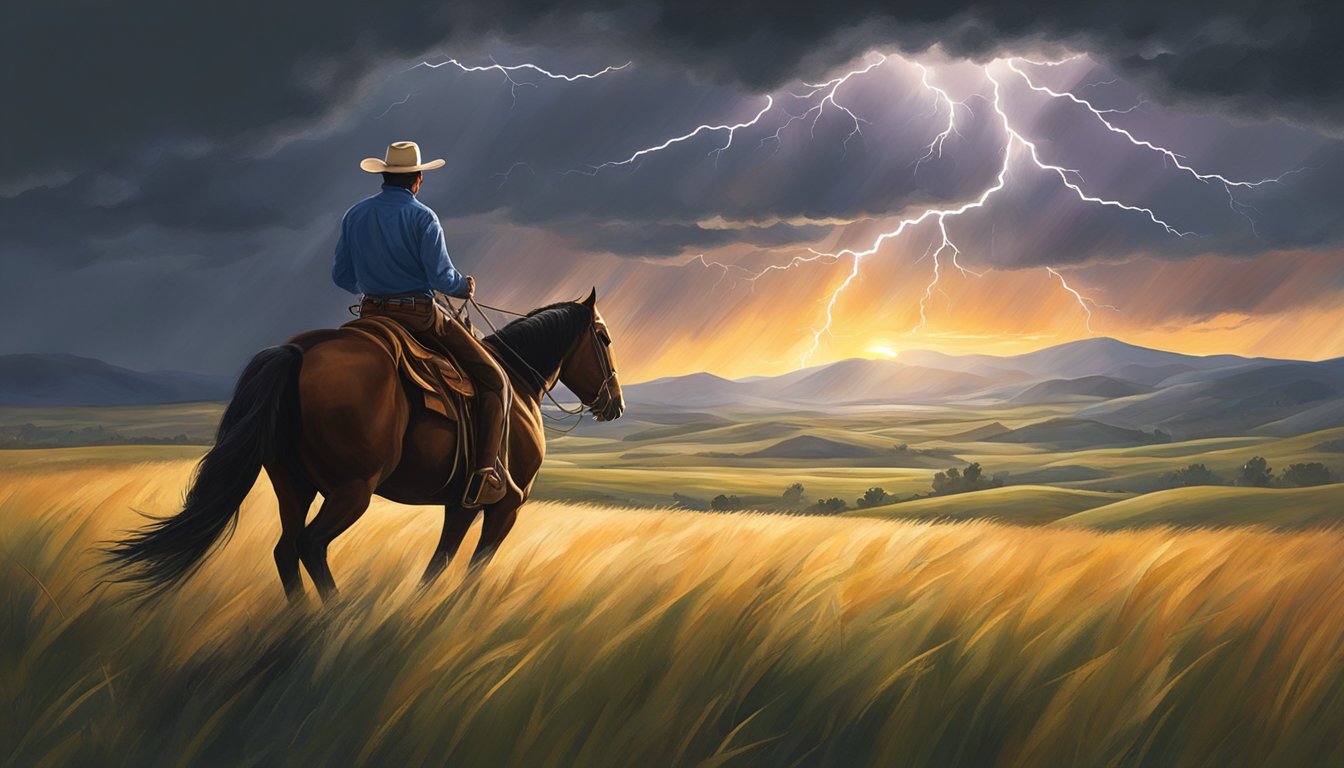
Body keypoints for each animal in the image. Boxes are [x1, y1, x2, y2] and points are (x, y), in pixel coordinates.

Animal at [104, 287, 623, 599]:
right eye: (604, 337)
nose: (614, 404)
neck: (518, 379)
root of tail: (300, 350)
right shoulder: (506, 506)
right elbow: (475, 567)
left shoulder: (460, 504)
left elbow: (439, 563)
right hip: (351, 490)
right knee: (311, 545)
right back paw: (337, 620)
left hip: (293, 484)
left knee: (285, 550)